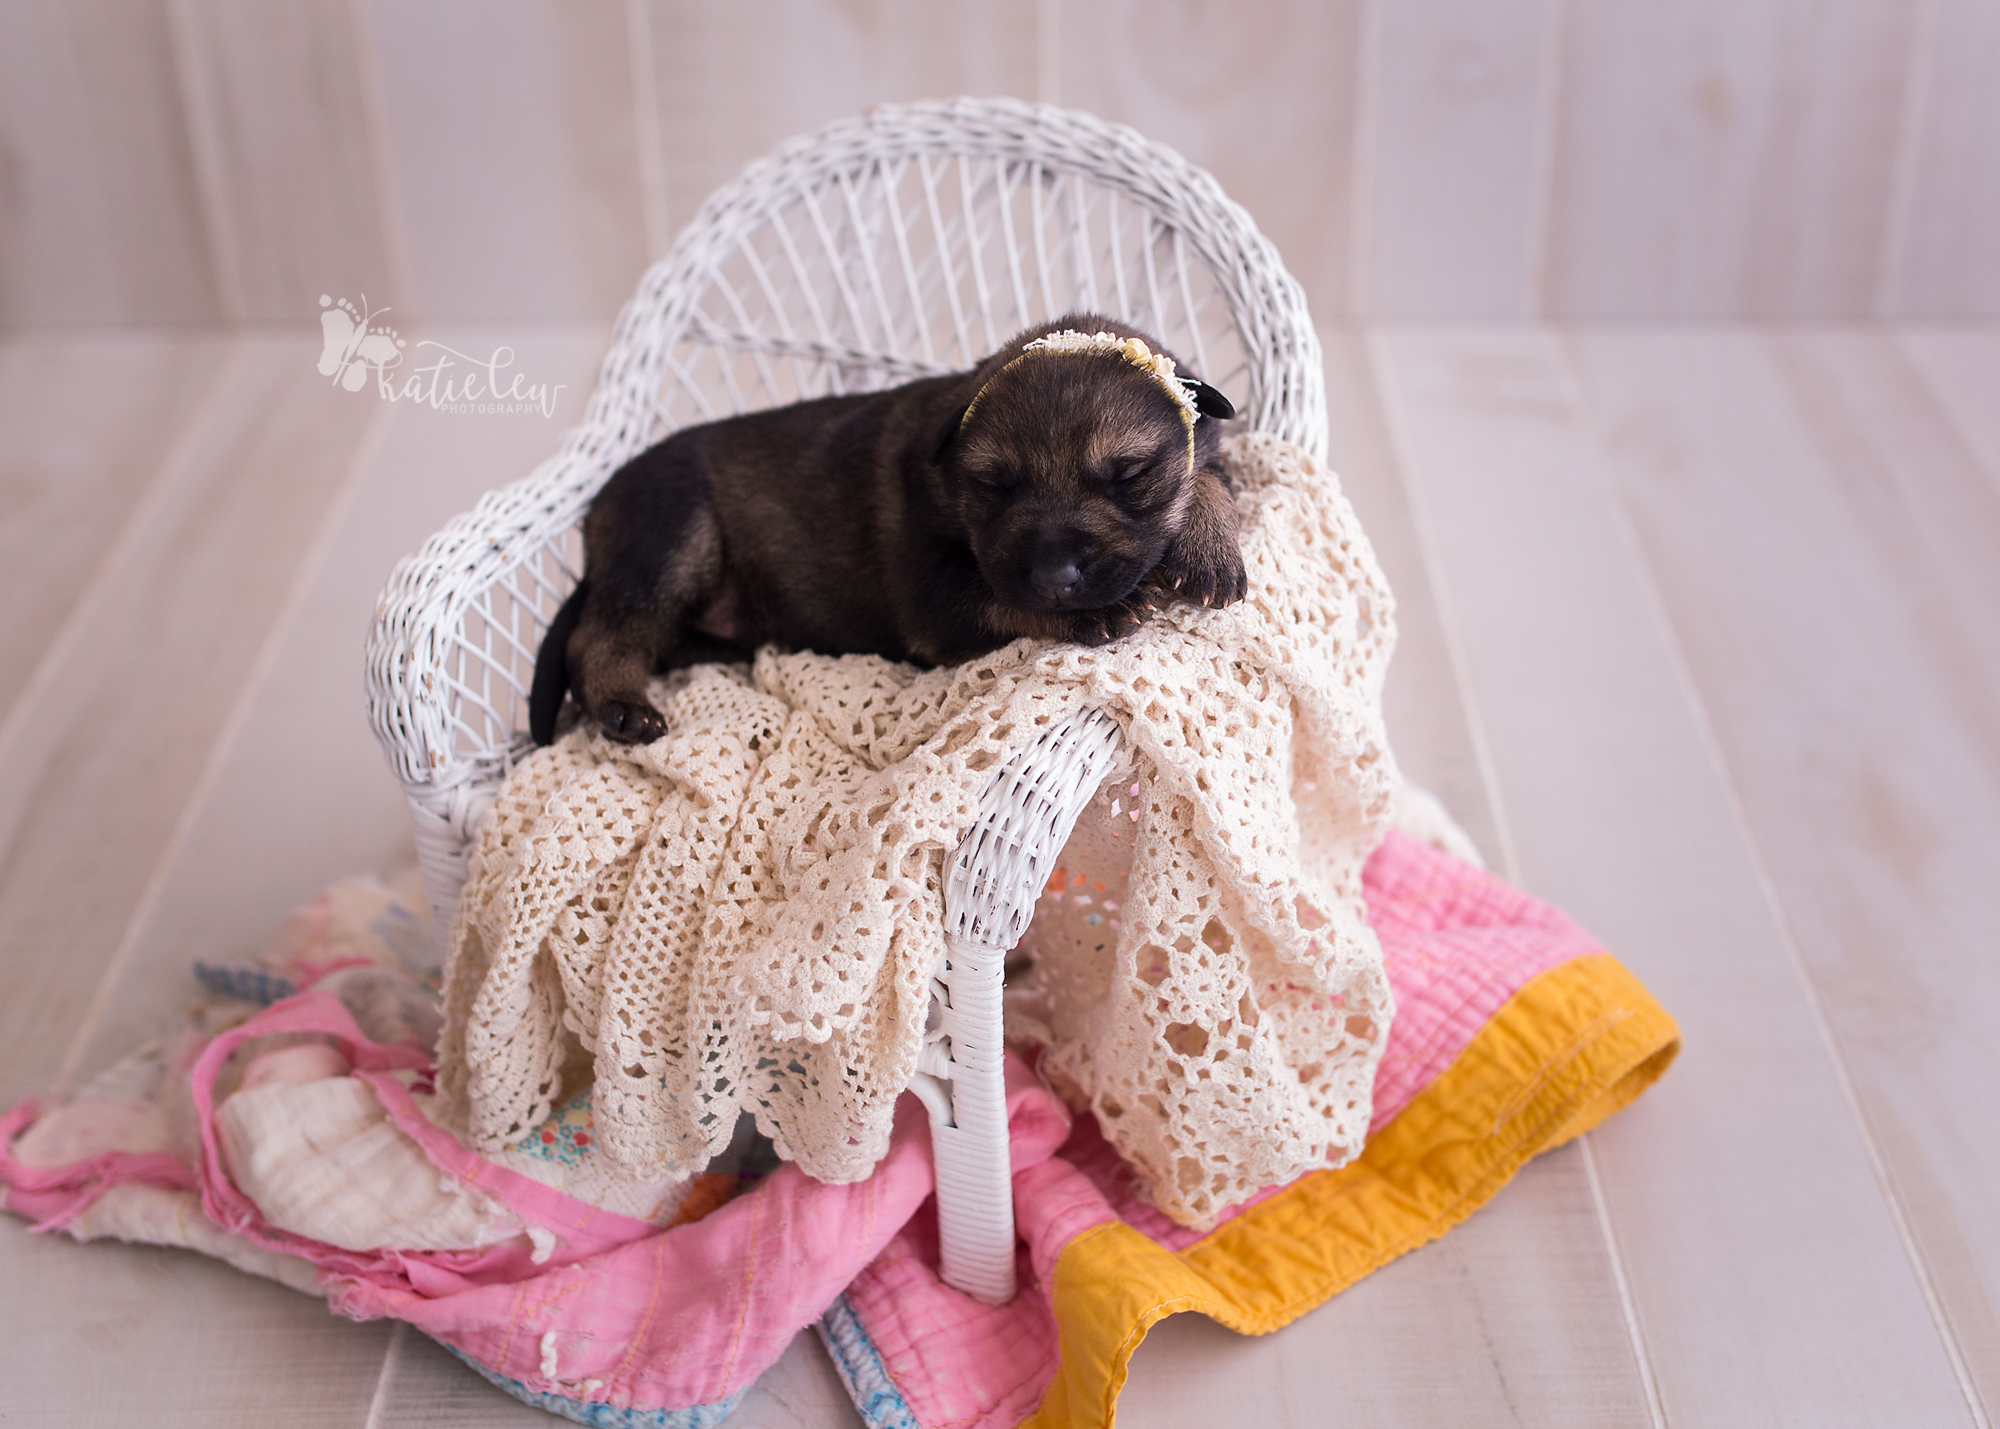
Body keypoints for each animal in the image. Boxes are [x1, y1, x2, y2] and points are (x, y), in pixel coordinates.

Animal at [532, 314, 1248, 744]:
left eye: (1129, 475)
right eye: (994, 484)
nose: (1055, 576)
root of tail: (596, 517)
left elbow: (1211, 474)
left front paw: (1209, 543)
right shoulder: (932, 598)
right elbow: (998, 599)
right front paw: (1095, 614)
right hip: (673, 531)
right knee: (605, 631)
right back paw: (621, 705)